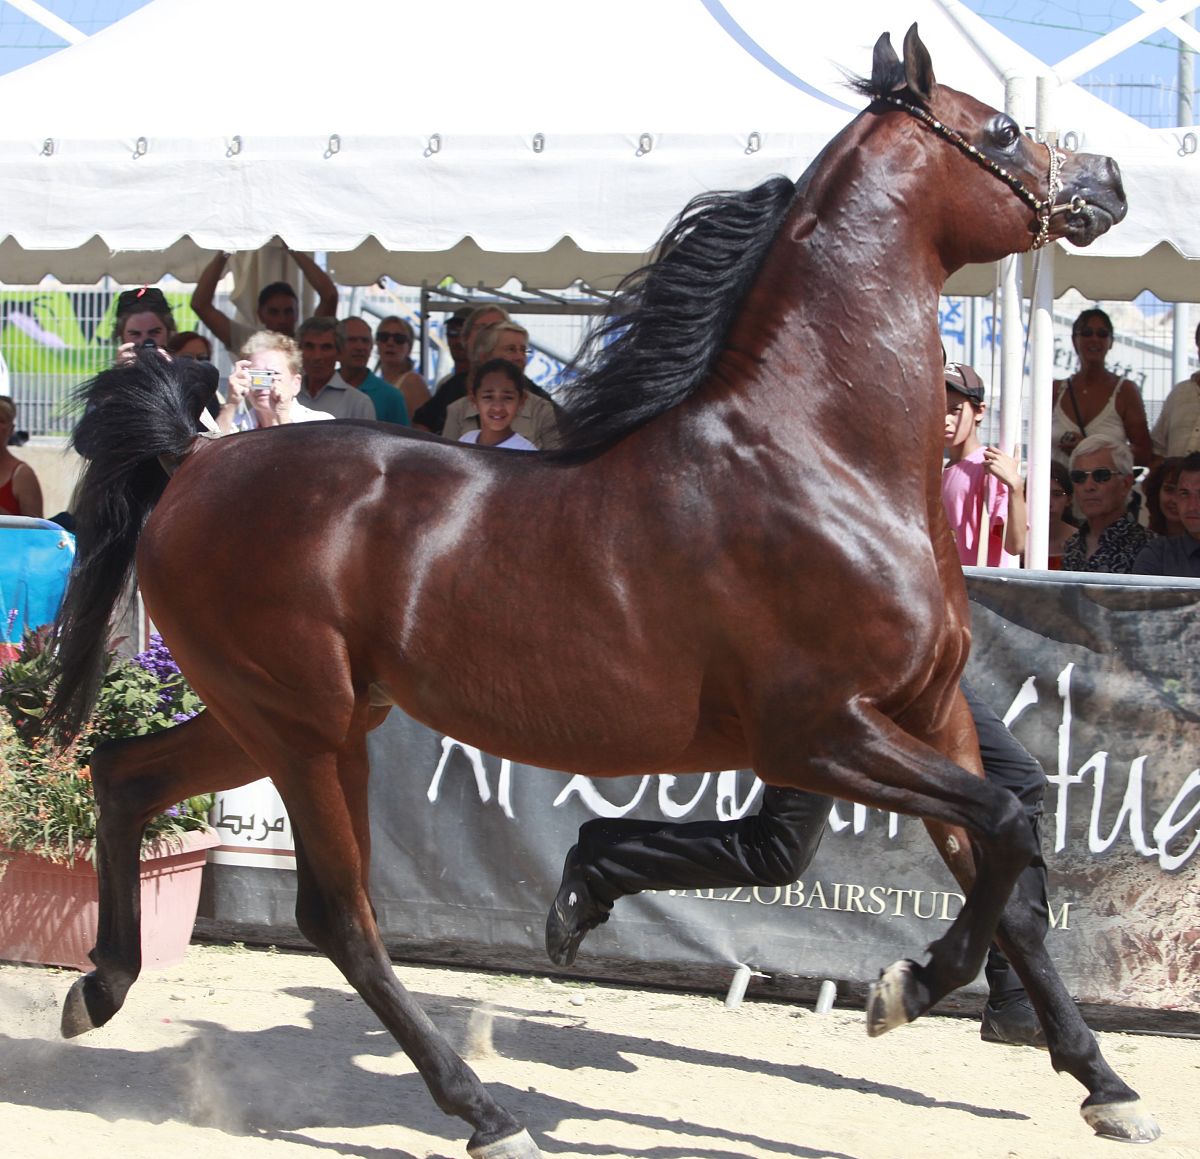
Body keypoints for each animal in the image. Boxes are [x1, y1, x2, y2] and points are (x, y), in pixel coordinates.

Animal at [45, 26, 1153, 1159]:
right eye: (1004, 129)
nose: (1110, 180)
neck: (823, 459)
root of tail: (194, 460)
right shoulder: (820, 733)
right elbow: (1006, 830)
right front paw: (903, 988)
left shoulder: (933, 715)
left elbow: (1010, 880)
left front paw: (1103, 1082)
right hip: (301, 725)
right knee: (338, 914)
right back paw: (487, 1111)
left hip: (292, 714)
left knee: (126, 775)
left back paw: (99, 987)